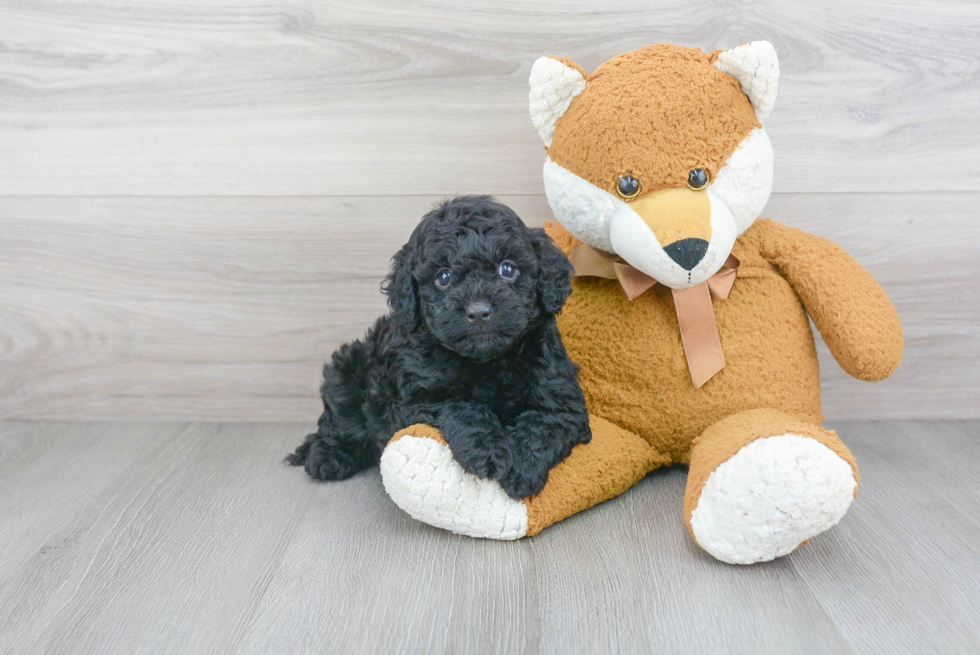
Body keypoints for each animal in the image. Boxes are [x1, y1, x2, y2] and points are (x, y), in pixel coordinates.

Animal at [284, 195, 588, 498]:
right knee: (339, 424)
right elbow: (462, 408)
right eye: (443, 276)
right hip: (345, 372)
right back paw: (327, 457)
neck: (486, 362)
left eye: (508, 269)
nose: (478, 311)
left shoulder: (561, 400)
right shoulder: (416, 399)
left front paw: (522, 464)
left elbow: (543, 425)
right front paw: (488, 449)